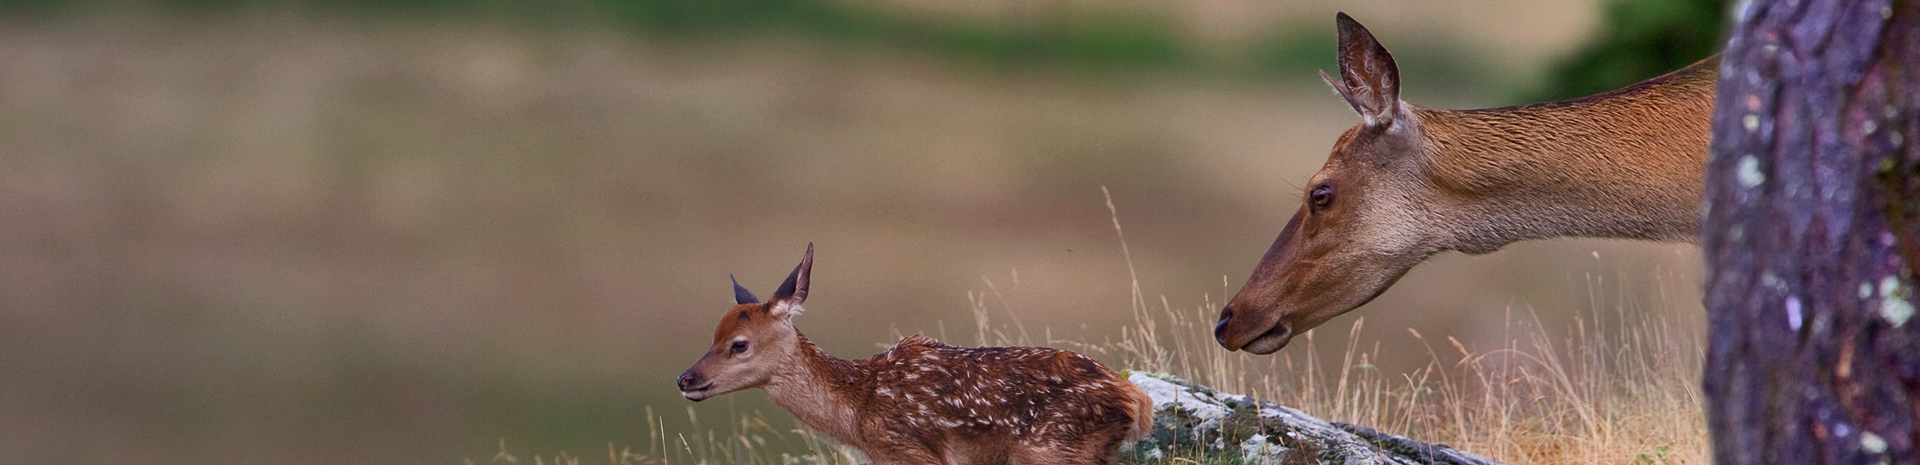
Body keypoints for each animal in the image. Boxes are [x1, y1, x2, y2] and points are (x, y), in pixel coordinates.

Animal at [679, 244, 1144, 463]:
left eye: (739, 343)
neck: (857, 411)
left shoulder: (906, 451)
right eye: (712, 334)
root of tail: (1136, 399)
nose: (686, 378)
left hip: (1053, 448)